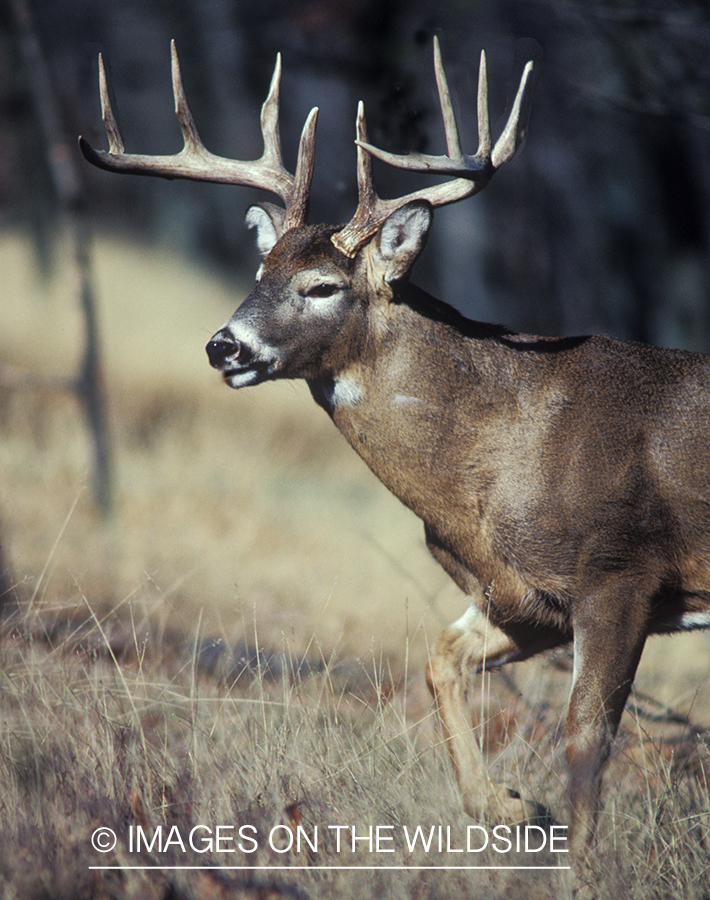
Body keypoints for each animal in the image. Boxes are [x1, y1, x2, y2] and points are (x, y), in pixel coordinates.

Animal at [80, 40, 710, 856]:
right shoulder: (520, 599)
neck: (499, 461)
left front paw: (582, 866)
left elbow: (585, 740)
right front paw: (510, 806)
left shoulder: (621, 574)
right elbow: (440, 660)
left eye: (321, 285)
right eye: (259, 272)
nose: (224, 345)